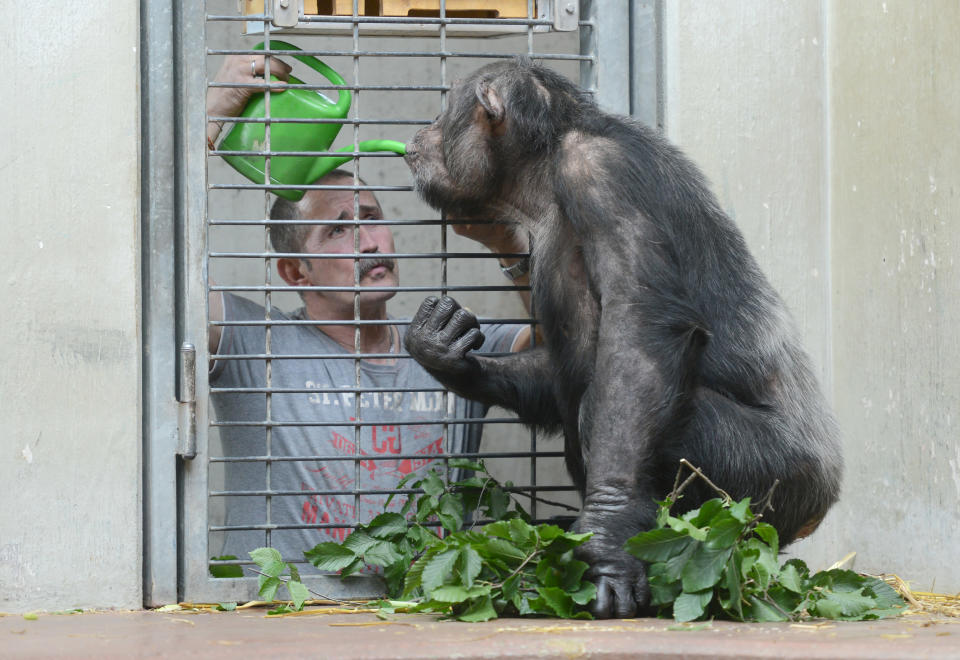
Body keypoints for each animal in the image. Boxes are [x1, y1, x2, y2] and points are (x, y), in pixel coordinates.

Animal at [402, 56, 844, 620]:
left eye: (445, 112)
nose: (422, 131)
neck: (544, 167)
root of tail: (820, 506)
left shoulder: (602, 175)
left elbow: (638, 328)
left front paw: (609, 544)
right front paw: (446, 352)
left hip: (770, 483)